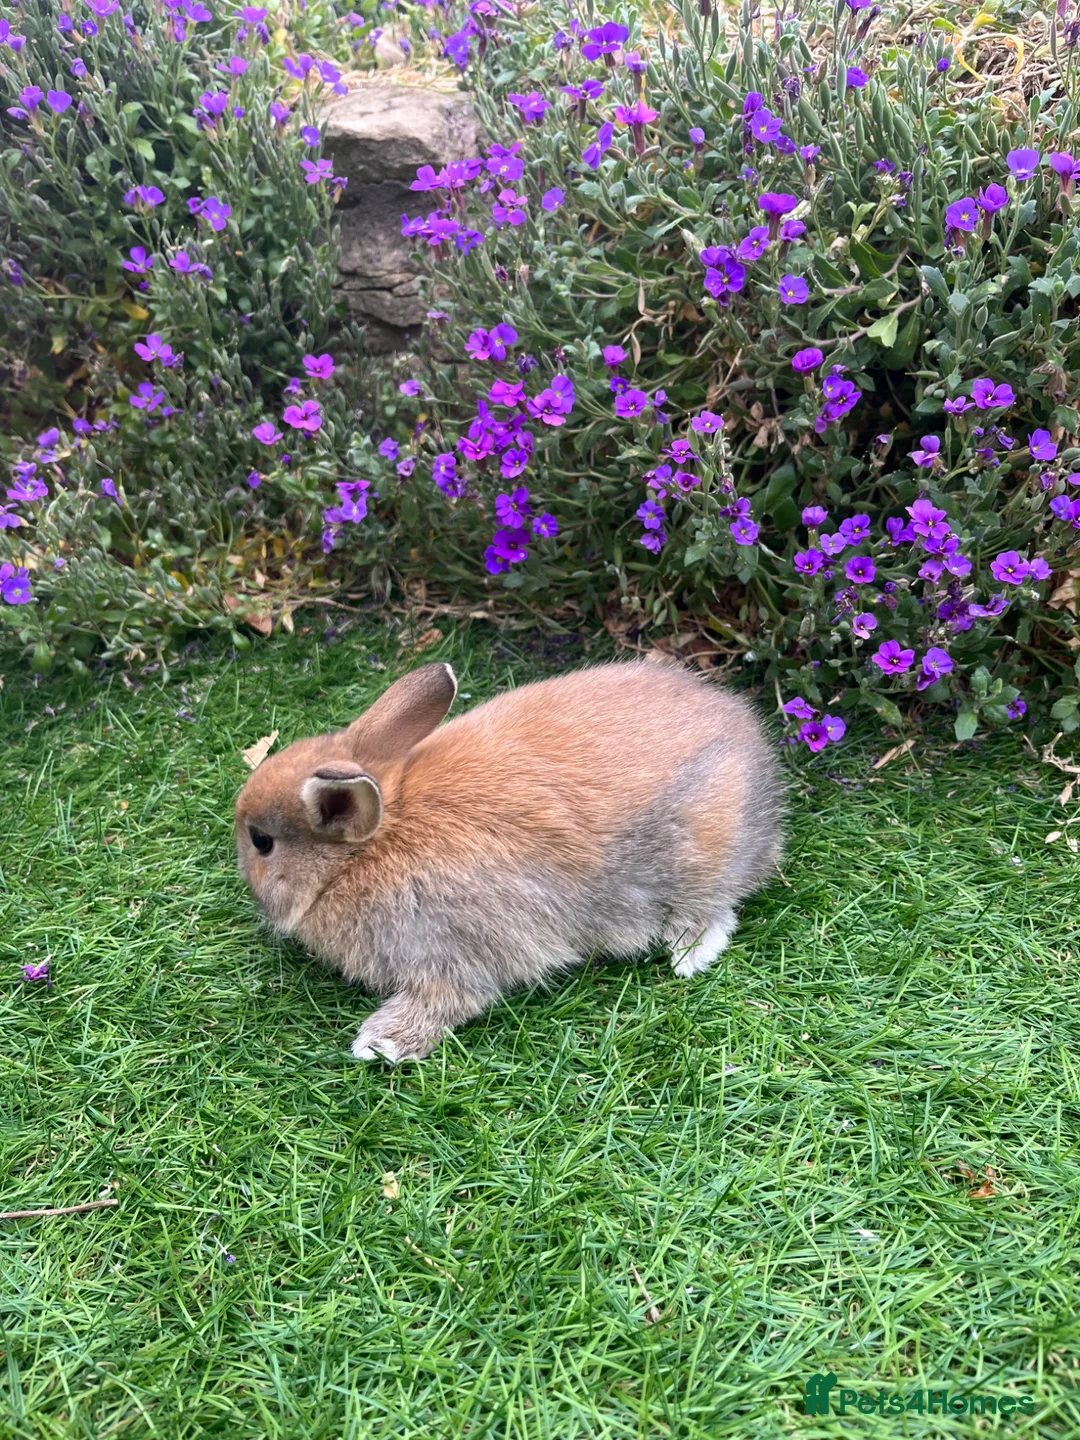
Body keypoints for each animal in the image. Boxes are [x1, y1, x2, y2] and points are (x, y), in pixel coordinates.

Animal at [235, 659, 784, 1062]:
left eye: (261, 842)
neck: (372, 844)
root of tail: (755, 749)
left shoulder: (450, 952)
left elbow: (452, 999)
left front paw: (381, 1043)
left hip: (700, 857)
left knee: (717, 910)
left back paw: (687, 955)